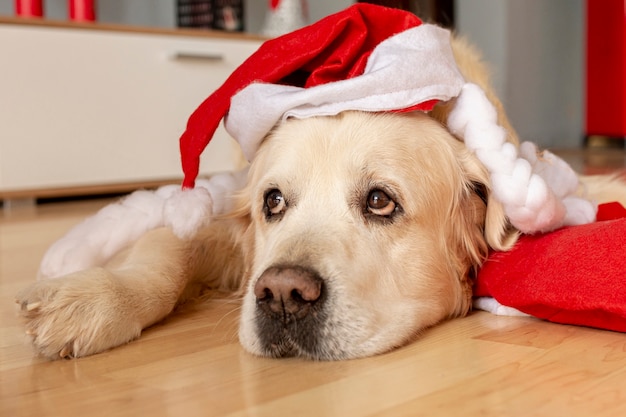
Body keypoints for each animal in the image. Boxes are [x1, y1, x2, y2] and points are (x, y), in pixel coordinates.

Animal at [14, 35, 624, 358]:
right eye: (273, 203)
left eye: (380, 201)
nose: (282, 294)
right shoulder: (220, 216)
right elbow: (167, 247)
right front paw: (88, 301)